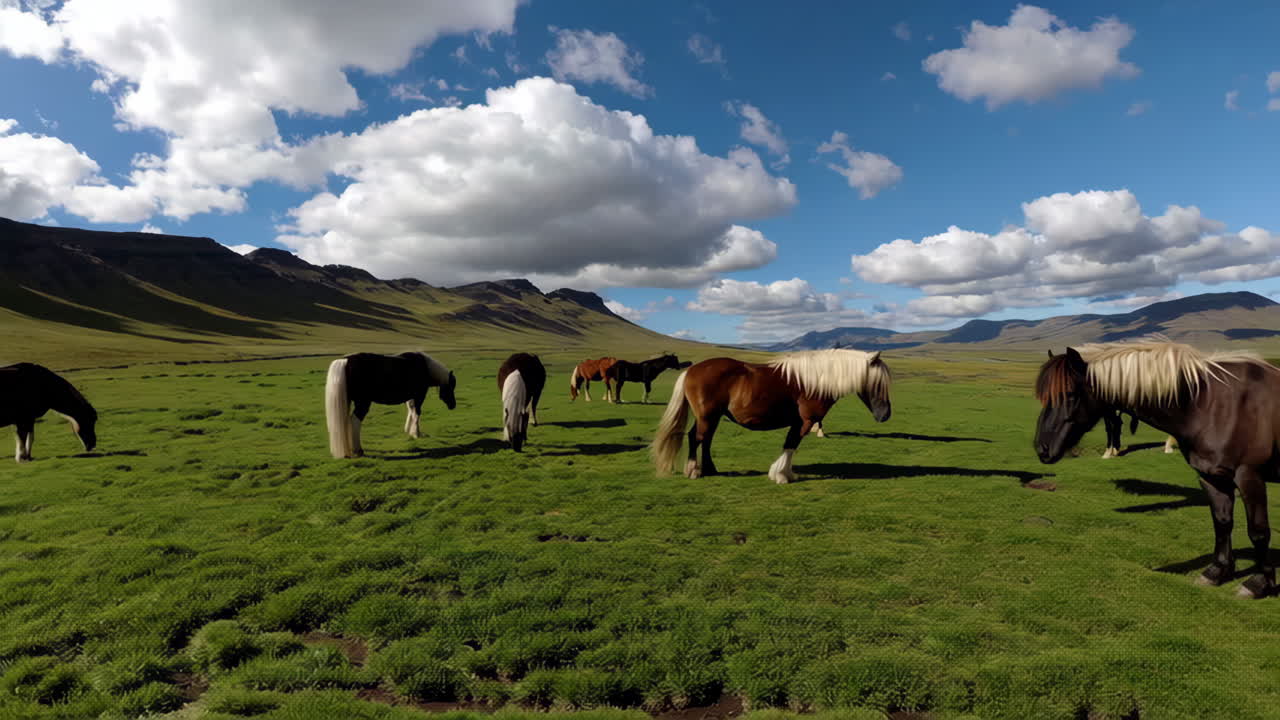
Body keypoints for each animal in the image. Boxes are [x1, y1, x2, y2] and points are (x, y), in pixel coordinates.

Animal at [325, 351, 456, 458]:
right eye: (451, 386)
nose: (453, 405)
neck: (425, 367)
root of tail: (345, 360)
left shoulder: (410, 397)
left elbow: (411, 411)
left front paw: (409, 431)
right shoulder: (419, 396)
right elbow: (417, 413)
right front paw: (416, 433)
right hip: (363, 403)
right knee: (355, 420)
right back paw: (358, 450)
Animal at [651, 349, 892, 484]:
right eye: (878, 383)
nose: (885, 415)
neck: (816, 380)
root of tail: (690, 371)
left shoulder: (799, 422)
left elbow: (790, 445)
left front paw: (785, 473)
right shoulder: (804, 422)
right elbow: (791, 445)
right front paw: (781, 475)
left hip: (713, 417)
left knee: (705, 439)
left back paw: (710, 469)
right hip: (707, 416)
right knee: (697, 438)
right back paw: (693, 471)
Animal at [1034, 341, 1279, 598]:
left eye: (1070, 393)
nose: (1042, 448)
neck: (1212, 405)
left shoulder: (1249, 476)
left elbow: (1258, 531)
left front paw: (1259, 583)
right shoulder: (1211, 477)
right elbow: (1222, 523)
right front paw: (1216, 572)